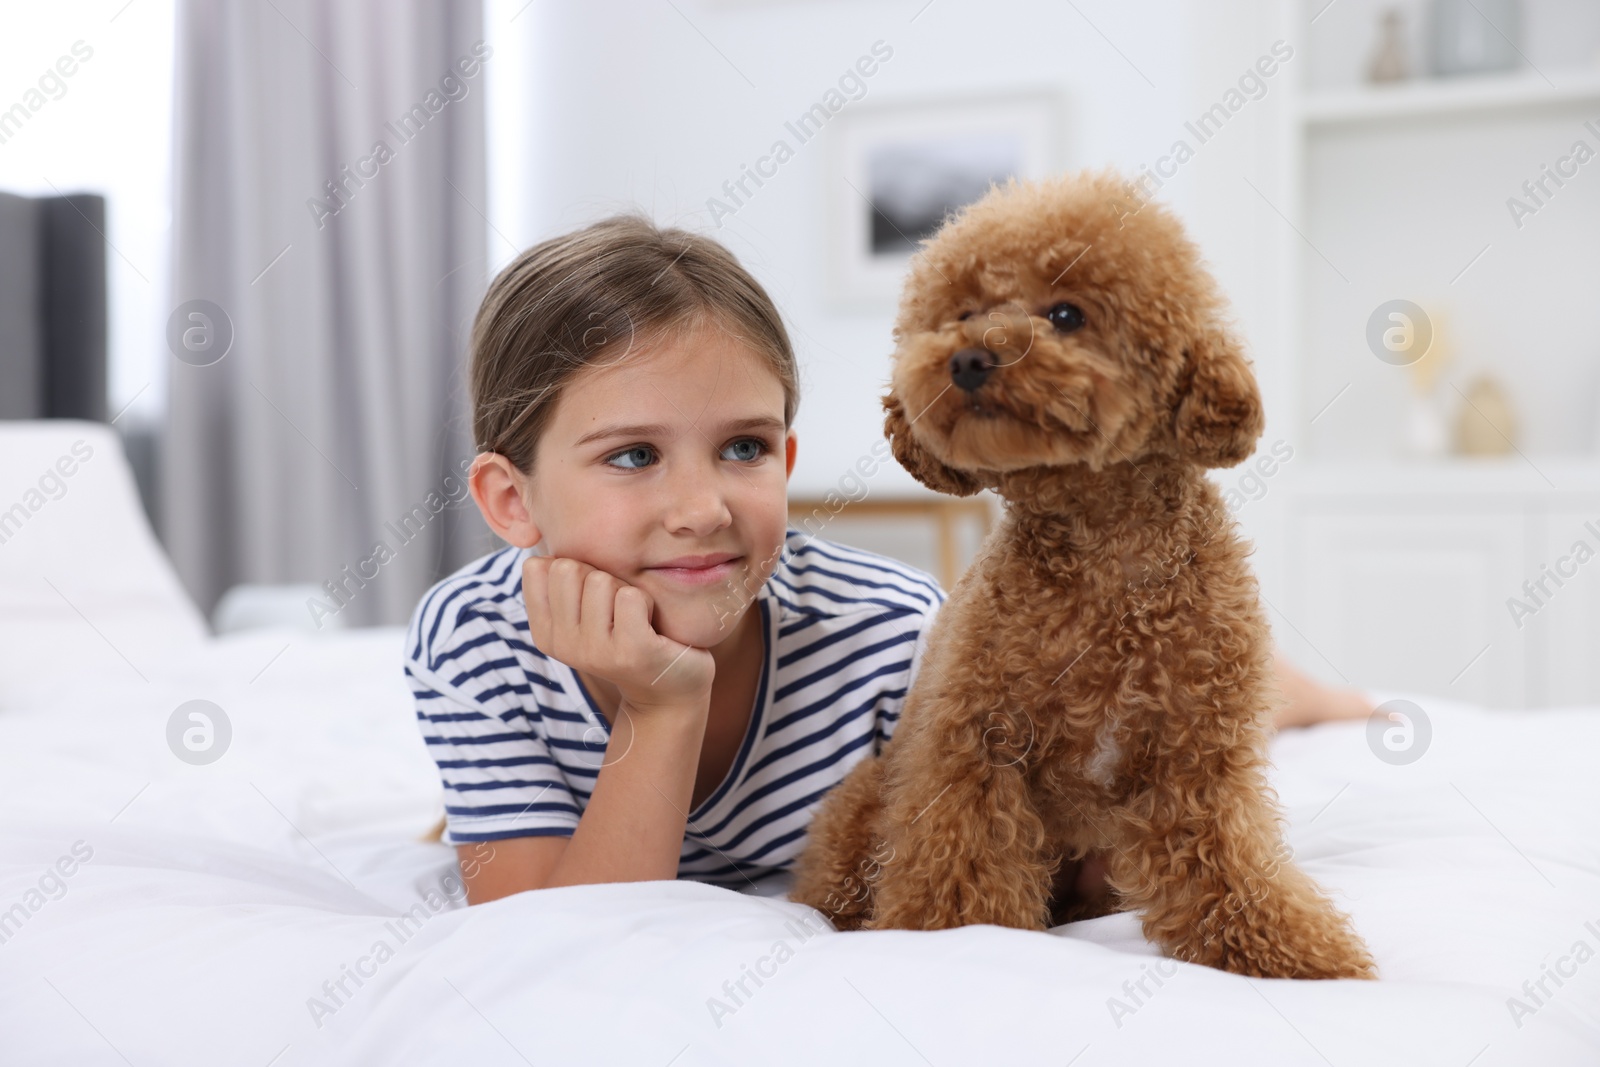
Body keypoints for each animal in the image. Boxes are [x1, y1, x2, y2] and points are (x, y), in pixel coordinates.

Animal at [793, 171, 1382, 979]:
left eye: (1066, 314)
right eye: (965, 313)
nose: (968, 359)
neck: (1107, 560)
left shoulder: (1195, 763)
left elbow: (1228, 870)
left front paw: (1295, 956)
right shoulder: (972, 749)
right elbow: (959, 875)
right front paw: (947, 945)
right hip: (869, 794)